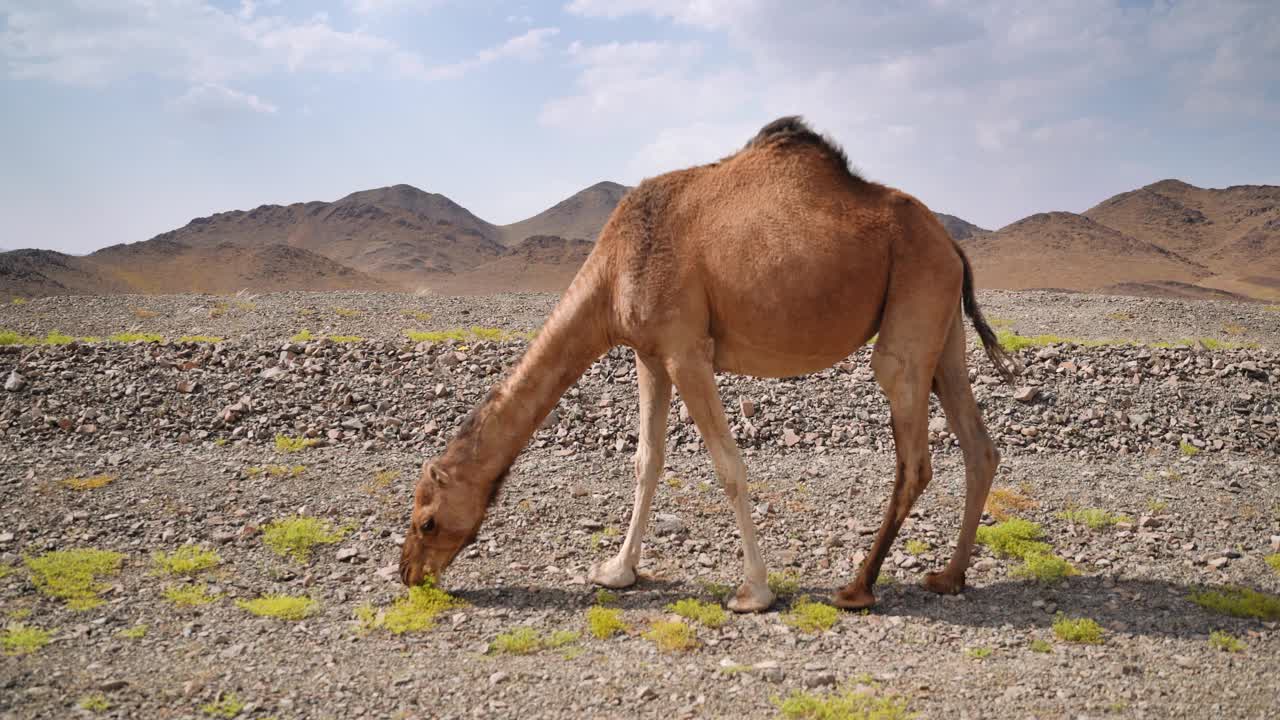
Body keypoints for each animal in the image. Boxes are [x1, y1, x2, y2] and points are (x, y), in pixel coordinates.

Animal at [394, 114, 1013, 607]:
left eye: (427, 520)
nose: (407, 573)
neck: (615, 269)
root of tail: (952, 244)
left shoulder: (686, 350)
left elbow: (728, 466)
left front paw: (754, 592)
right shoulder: (648, 353)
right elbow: (647, 460)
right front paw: (617, 572)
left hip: (911, 304)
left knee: (914, 453)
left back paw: (857, 587)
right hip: (942, 326)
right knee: (978, 445)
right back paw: (949, 577)